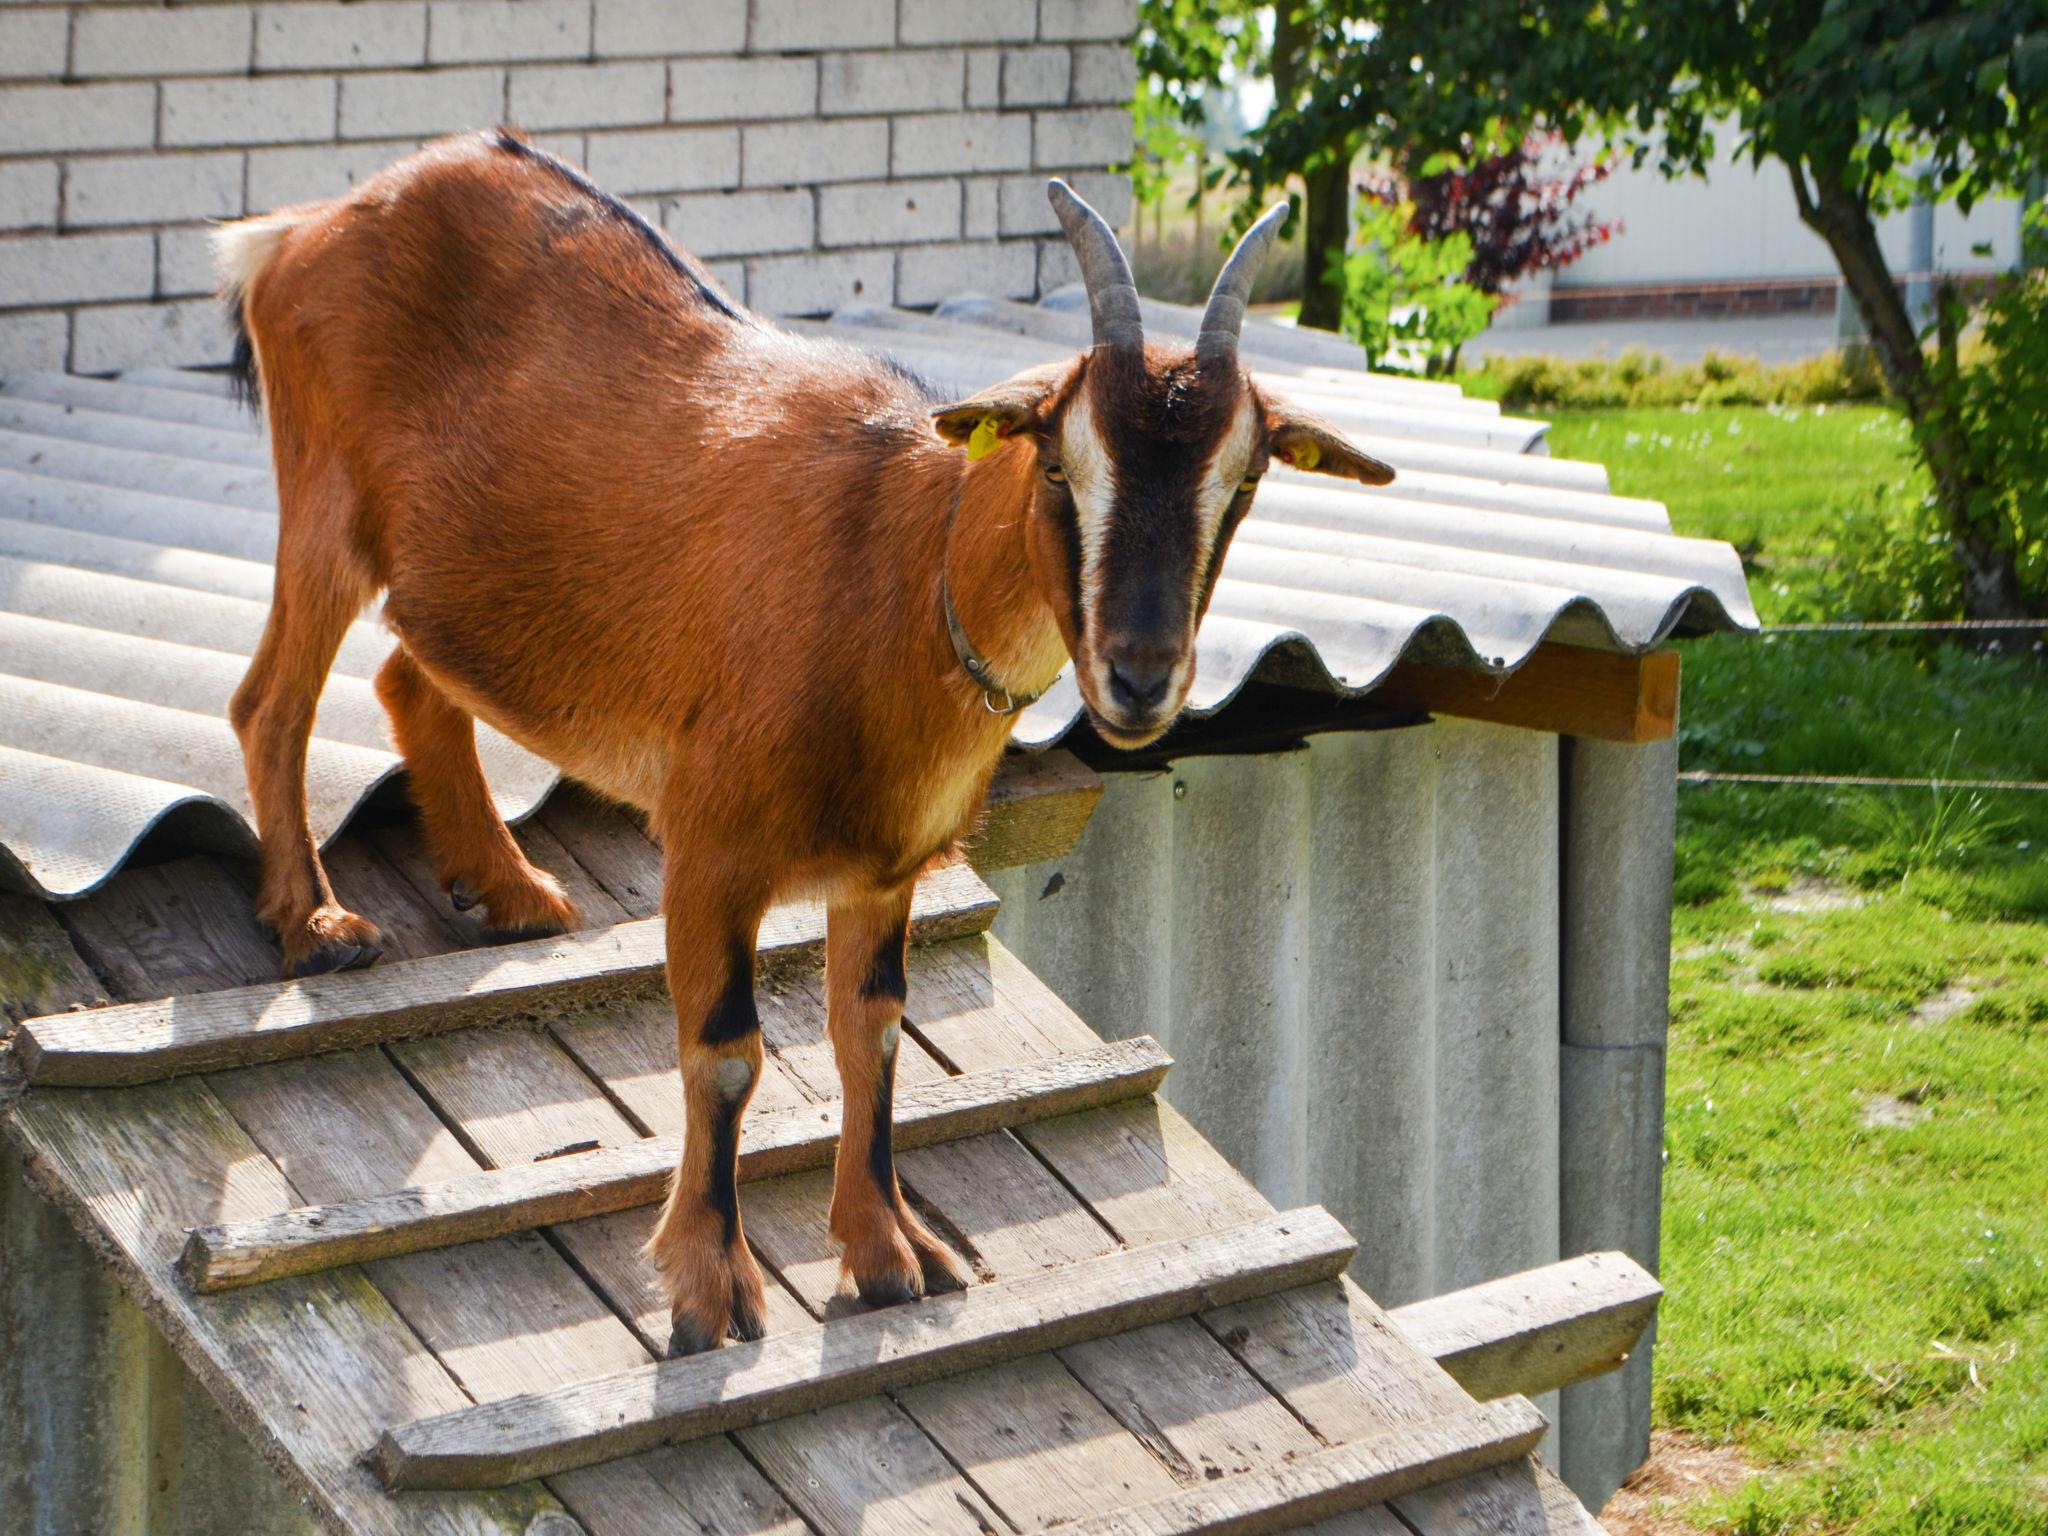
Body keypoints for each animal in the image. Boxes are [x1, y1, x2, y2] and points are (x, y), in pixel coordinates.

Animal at [216, 135, 1392, 1359]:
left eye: (1244, 479)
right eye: (1059, 466)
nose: (1138, 677)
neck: (901, 569)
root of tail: (302, 228)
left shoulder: (884, 872)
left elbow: (871, 1033)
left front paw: (890, 1255)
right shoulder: (708, 850)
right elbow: (727, 1050)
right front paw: (709, 1289)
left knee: (409, 673)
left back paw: (510, 890)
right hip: (323, 500)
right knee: (271, 702)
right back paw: (317, 926)